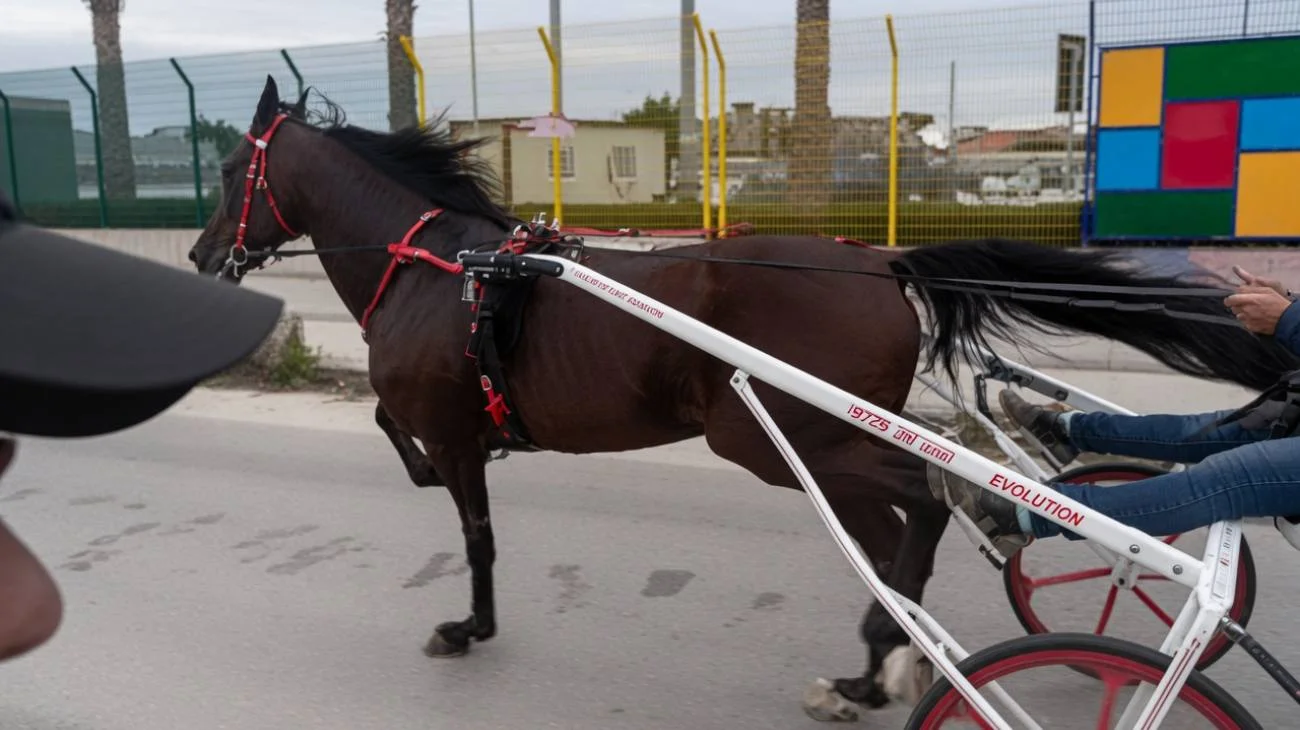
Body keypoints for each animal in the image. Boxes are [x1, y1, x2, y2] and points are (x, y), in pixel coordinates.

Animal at [187, 75, 1300, 719]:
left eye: (233, 168)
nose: (201, 256)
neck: (443, 269)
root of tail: (884, 261)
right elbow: (410, 453)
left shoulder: (453, 425)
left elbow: (468, 523)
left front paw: (468, 626)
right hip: (805, 439)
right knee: (899, 519)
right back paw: (879, 658)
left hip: (774, 435)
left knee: (924, 499)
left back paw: (895, 644)